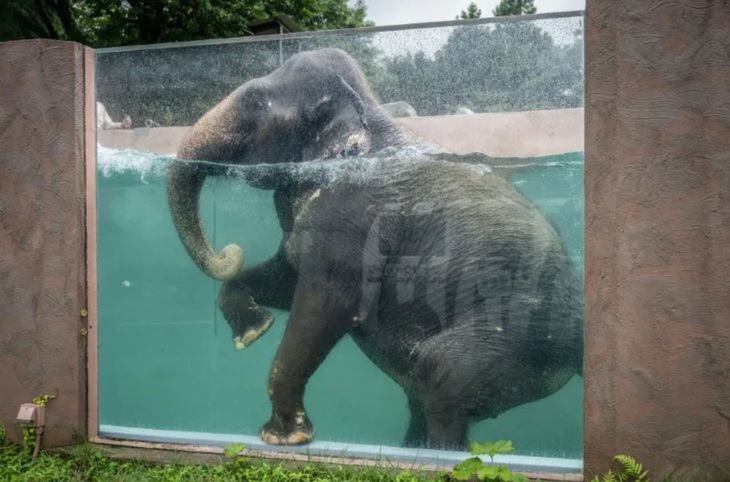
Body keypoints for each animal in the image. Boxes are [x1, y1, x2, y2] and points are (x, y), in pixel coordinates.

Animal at [165, 47, 580, 450]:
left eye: (254, 101)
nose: (229, 251)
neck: (370, 111)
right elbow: (284, 280)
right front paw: (253, 332)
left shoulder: (351, 219)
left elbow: (325, 304)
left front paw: (283, 438)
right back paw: (409, 449)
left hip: (511, 337)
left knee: (440, 379)